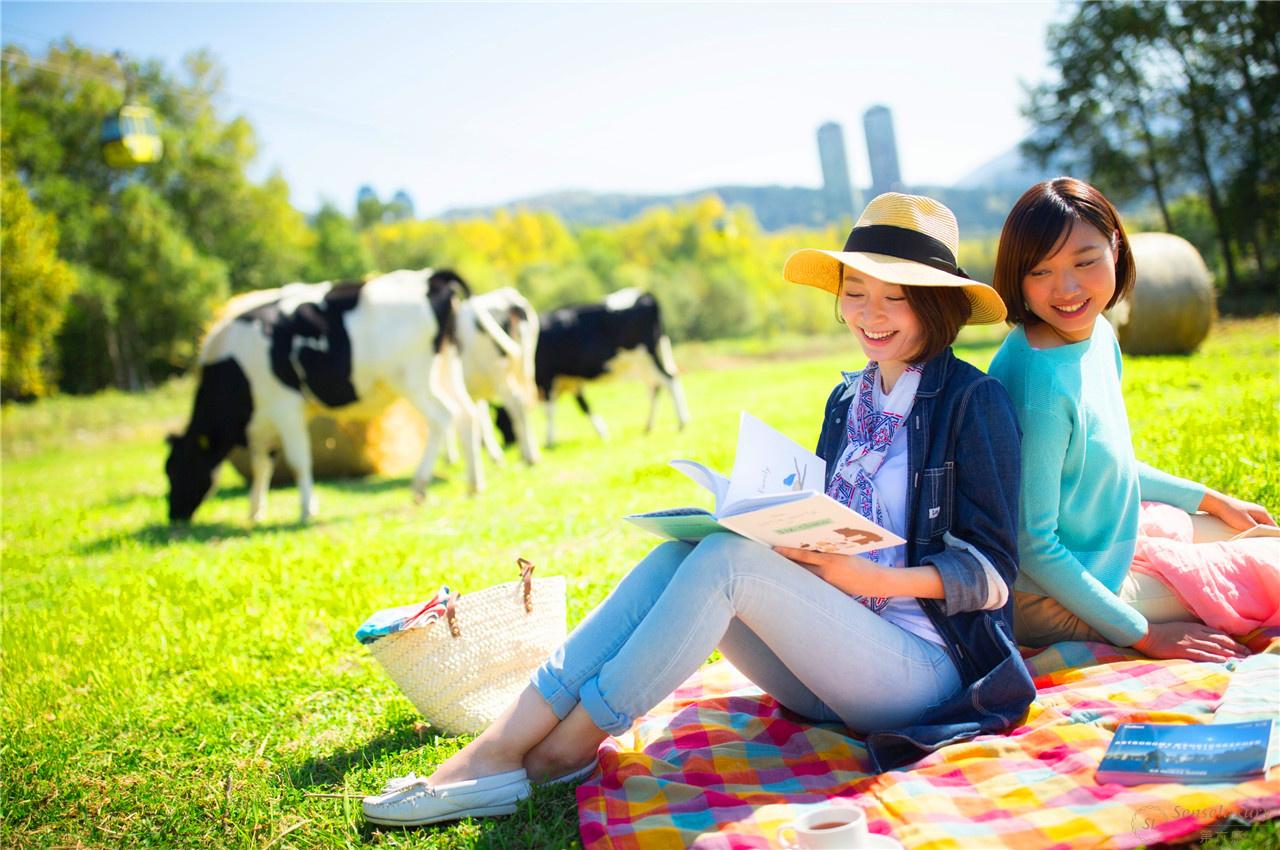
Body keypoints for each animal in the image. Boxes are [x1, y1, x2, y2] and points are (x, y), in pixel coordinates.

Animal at [161, 270, 481, 524]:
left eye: (177, 469)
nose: (174, 514)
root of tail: (431, 277)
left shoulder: (286, 406)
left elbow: (298, 459)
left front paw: (306, 509)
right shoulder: (262, 424)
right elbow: (261, 465)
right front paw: (255, 511)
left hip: (411, 376)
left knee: (443, 416)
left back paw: (419, 485)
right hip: (446, 365)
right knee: (467, 414)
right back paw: (473, 486)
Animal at [509, 286, 691, 445]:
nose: (511, 443)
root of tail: (645, 295)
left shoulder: (547, 377)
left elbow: (549, 410)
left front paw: (549, 441)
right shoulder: (572, 381)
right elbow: (584, 406)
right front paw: (603, 432)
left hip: (645, 356)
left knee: (669, 380)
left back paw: (682, 422)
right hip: (649, 357)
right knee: (657, 386)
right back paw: (648, 427)